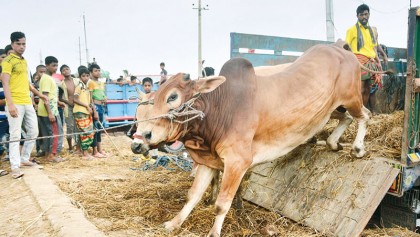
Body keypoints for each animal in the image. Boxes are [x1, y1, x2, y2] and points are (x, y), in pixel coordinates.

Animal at [130, 42, 368, 235]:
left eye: (173, 96)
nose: (139, 141)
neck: (220, 110)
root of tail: (339, 49)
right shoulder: (208, 162)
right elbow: (193, 195)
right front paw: (173, 223)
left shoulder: (237, 162)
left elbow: (221, 203)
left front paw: (214, 232)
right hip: (333, 109)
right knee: (347, 118)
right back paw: (333, 143)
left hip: (352, 98)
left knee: (364, 115)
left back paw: (357, 148)